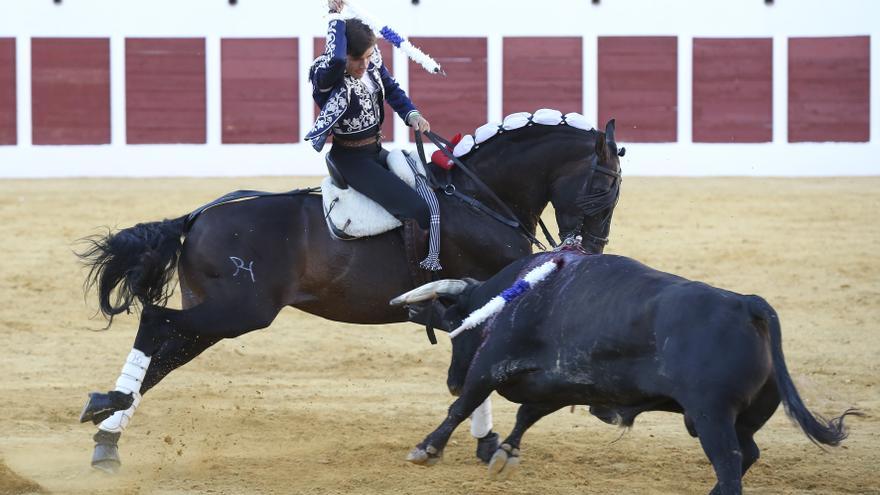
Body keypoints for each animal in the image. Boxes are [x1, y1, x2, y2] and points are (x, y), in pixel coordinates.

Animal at [79, 116, 624, 472]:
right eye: (603, 189)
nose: (591, 248)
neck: (479, 197)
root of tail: (196, 217)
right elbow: (478, 368)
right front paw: (482, 443)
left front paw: (482, 442)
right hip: (237, 312)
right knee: (154, 323)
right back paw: (106, 410)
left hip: (217, 315)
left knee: (164, 354)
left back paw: (107, 434)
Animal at [392, 252, 860, 495]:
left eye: (457, 329)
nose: (451, 378)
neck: (511, 295)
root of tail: (746, 304)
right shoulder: (558, 385)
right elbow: (527, 415)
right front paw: (506, 454)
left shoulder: (492, 362)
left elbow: (462, 405)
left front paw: (426, 449)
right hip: (739, 419)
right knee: (750, 455)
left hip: (711, 417)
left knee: (729, 464)